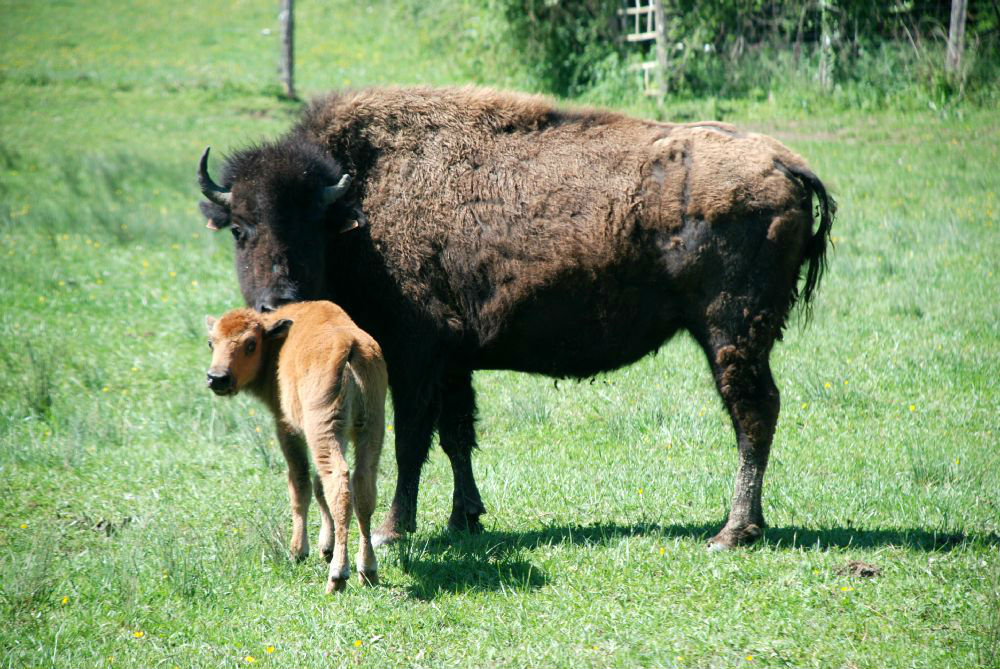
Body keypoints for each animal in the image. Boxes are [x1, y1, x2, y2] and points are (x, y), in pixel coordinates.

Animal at [199, 86, 832, 552]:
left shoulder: (413, 356)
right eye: (240, 228)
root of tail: (787, 165)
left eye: (312, 224)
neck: (358, 208)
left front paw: (394, 529)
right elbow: (457, 436)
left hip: (730, 330)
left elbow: (412, 441)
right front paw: (465, 518)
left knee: (752, 411)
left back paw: (731, 532)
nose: (277, 301)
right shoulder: (452, 362)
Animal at [203, 300, 386, 592]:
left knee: (338, 483)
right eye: (212, 342)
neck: (277, 341)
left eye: (251, 343)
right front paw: (325, 546)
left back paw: (337, 576)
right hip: (371, 429)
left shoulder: (287, 429)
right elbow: (318, 486)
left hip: (324, 430)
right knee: (362, 487)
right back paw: (367, 570)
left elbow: (300, 485)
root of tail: (350, 343)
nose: (217, 378)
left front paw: (298, 551)